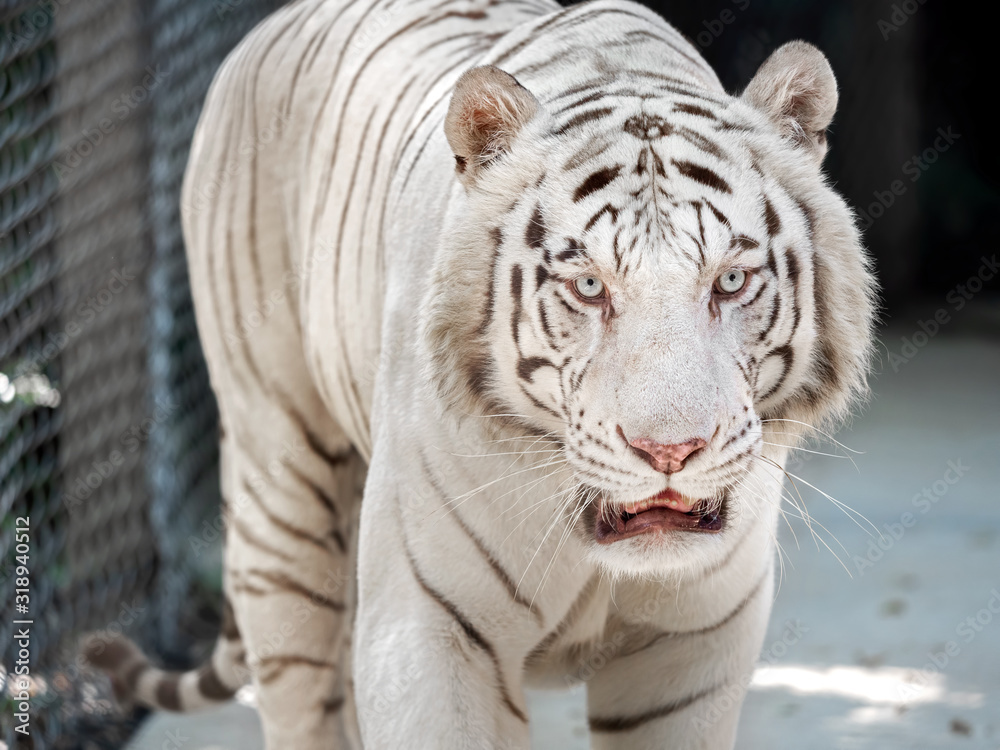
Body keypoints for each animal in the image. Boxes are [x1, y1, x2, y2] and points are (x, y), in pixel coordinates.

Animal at [81, 0, 876, 748]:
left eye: (731, 280)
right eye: (589, 286)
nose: (670, 451)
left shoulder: (692, 647)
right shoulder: (426, 631)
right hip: (279, 488)